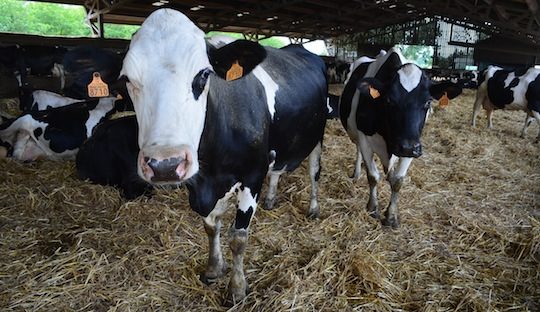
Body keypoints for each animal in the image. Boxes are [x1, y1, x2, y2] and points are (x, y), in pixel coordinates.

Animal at [119, 8, 326, 302]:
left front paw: (237, 287)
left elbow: (238, 237)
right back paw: (272, 198)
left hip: (317, 135)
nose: (165, 165)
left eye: (204, 74)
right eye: (127, 79)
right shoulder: (200, 183)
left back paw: (313, 207)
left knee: (314, 172)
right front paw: (214, 268)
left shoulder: (252, 174)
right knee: (277, 170)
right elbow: (211, 226)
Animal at [338, 47, 460, 227]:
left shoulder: (413, 144)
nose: (407, 147)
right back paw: (357, 173)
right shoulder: (365, 138)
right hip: (355, 135)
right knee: (358, 150)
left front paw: (391, 216)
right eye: (389, 100)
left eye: (428, 102)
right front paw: (372, 208)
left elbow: (397, 181)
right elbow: (373, 176)